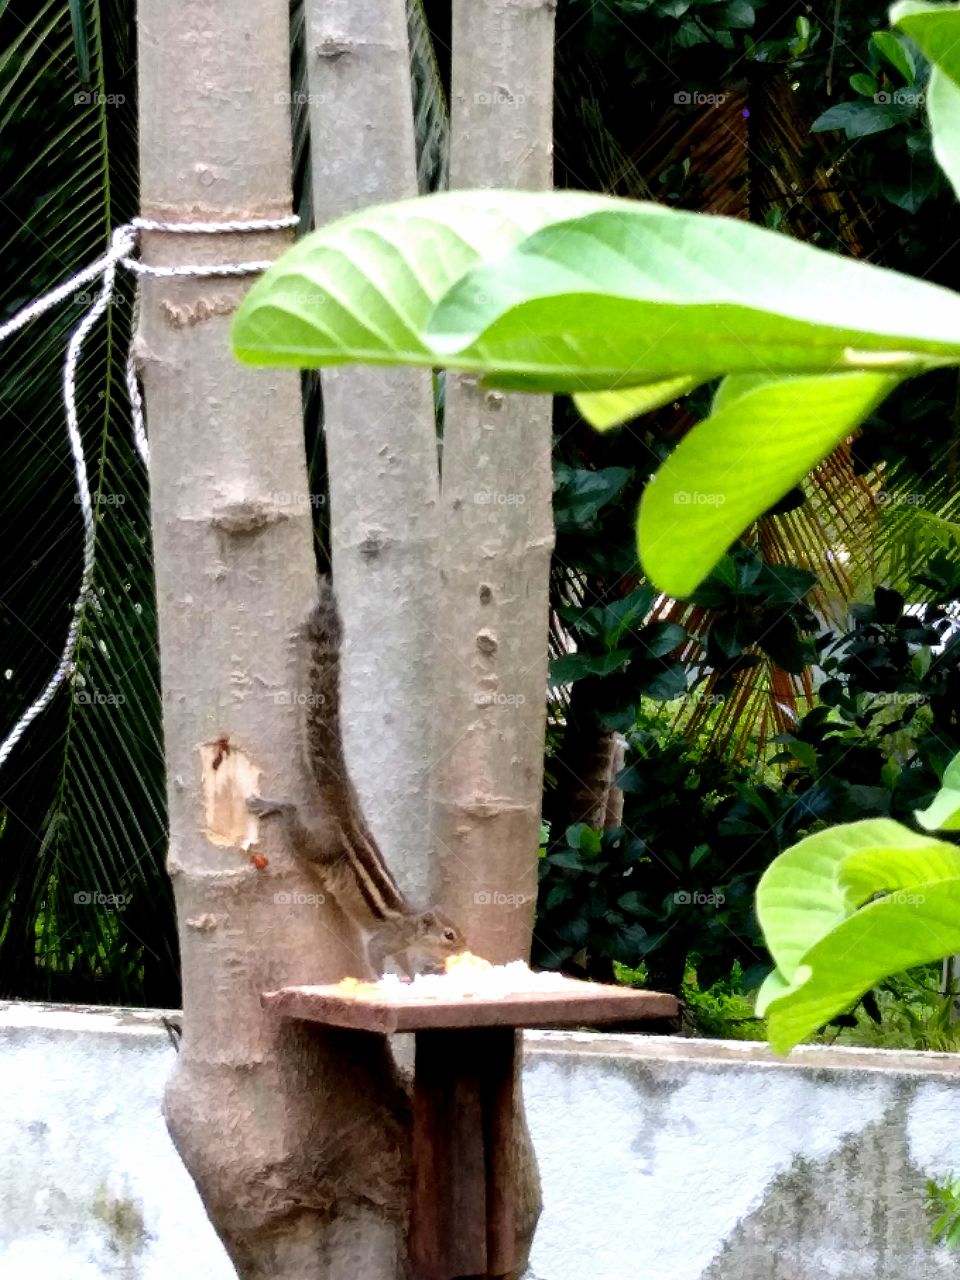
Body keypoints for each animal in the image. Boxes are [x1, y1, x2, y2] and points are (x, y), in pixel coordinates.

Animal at [248, 578, 466, 978]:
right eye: (448, 935)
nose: (465, 947)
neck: (411, 924)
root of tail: (345, 816)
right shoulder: (387, 938)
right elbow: (377, 955)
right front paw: (387, 982)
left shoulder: (401, 947)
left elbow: (404, 962)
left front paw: (413, 977)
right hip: (325, 846)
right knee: (296, 822)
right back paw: (273, 805)